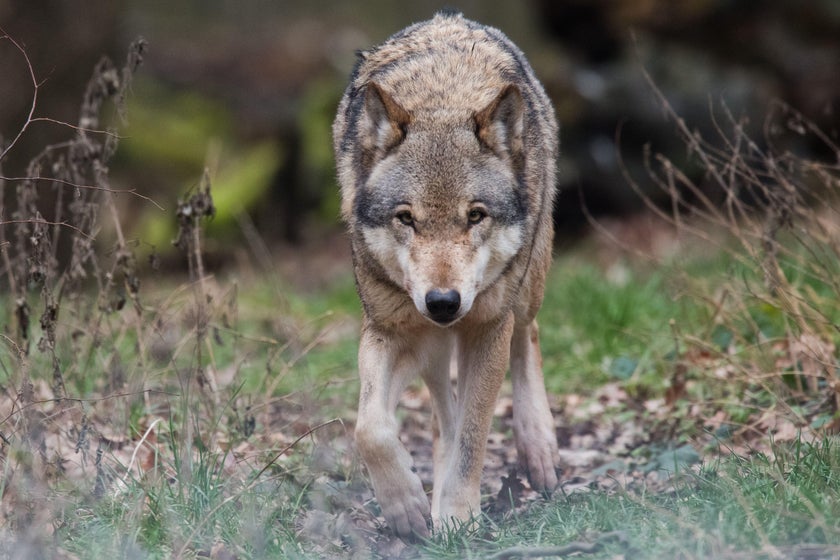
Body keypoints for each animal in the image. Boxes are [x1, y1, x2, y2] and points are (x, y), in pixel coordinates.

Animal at [334, 12, 556, 540]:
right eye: (406, 218)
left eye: (475, 216)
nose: (442, 302)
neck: (443, 98)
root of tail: (449, 18)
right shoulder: (390, 329)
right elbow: (370, 429)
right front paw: (407, 507)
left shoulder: (487, 328)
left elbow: (474, 437)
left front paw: (456, 515)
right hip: (429, 342)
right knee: (441, 408)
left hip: (524, 289)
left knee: (528, 335)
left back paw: (539, 450)